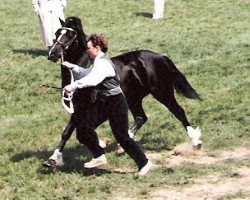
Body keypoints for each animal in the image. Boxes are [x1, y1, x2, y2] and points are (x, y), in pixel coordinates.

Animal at [44, 16, 202, 167]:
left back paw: (196, 142)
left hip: (162, 93)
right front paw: (52, 159)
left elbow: (81, 128)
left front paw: (101, 144)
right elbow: (67, 132)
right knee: (141, 118)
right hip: (134, 99)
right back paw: (121, 145)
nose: (52, 54)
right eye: (57, 33)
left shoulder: (88, 108)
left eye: (70, 35)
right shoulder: (78, 108)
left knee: (178, 112)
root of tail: (160, 56)